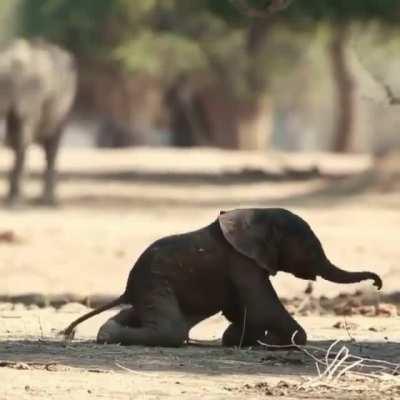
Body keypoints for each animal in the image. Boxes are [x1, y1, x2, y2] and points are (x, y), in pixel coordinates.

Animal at [0, 39, 77, 206]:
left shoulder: (33, 95)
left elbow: (20, 141)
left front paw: (15, 204)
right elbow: (18, 142)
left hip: (65, 108)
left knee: (51, 148)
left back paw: (48, 203)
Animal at [61, 208, 382, 348]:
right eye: (310, 249)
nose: (377, 283)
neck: (259, 215)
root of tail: (127, 287)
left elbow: (244, 311)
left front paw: (241, 339)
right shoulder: (243, 262)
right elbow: (262, 307)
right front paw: (279, 340)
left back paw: (107, 332)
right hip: (155, 281)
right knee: (172, 330)